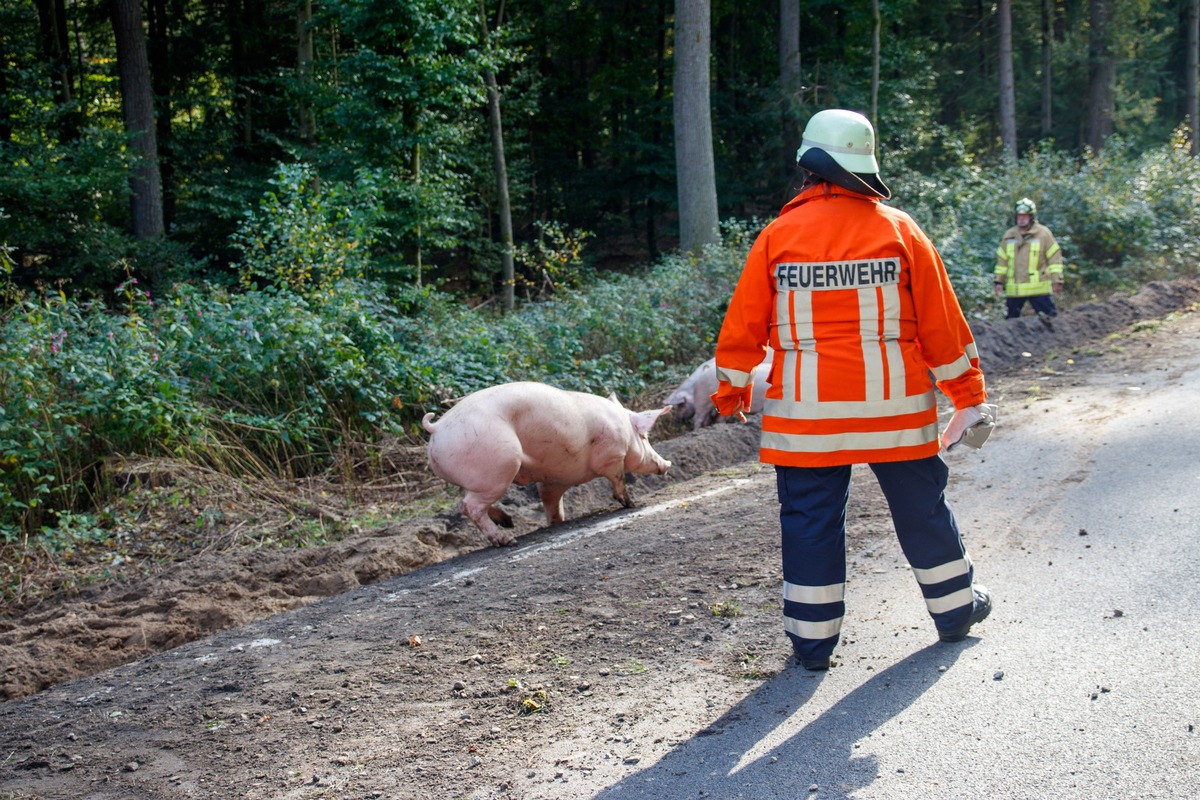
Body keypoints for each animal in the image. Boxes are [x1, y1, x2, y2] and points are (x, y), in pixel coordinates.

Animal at [422, 381, 672, 544]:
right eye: (645, 436)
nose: (667, 464)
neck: (624, 429)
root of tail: (437, 428)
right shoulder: (612, 456)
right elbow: (618, 479)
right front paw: (631, 504)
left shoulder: (555, 480)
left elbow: (550, 501)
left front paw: (558, 522)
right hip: (499, 465)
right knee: (470, 506)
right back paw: (507, 540)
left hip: (479, 477)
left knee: (467, 502)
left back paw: (508, 522)